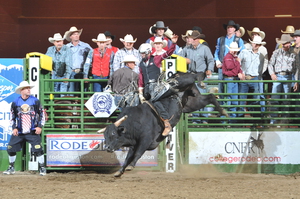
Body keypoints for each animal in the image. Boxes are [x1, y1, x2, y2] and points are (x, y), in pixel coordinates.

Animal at [98, 72, 227, 177]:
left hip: (181, 83)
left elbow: (138, 153)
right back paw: (222, 110)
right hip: (192, 103)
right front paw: (120, 171)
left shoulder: (145, 140)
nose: (107, 148)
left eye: (113, 134)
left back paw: (202, 81)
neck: (135, 122)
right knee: (209, 97)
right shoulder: (134, 144)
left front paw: (130, 166)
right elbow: (128, 157)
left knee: (193, 76)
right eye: (105, 136)